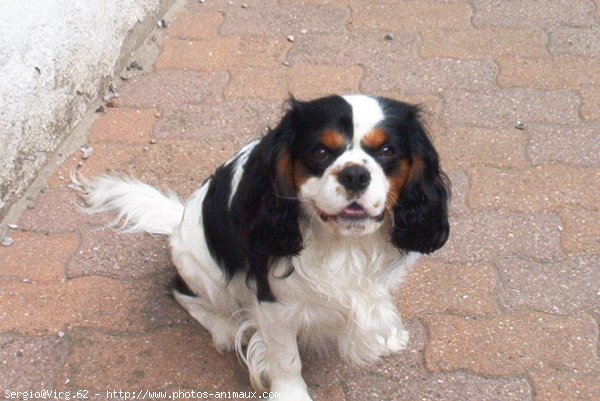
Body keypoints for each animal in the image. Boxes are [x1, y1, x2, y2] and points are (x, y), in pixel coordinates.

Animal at [75, 94, 448, 400]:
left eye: (387, 151)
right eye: (320, 151)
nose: (355, 174)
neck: (342, 243)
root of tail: (178, 220)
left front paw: (384, 337)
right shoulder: (274, 300)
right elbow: (286, 358)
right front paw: (291, 395)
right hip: (199, 268)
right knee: (182, 291)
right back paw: (225, 329)